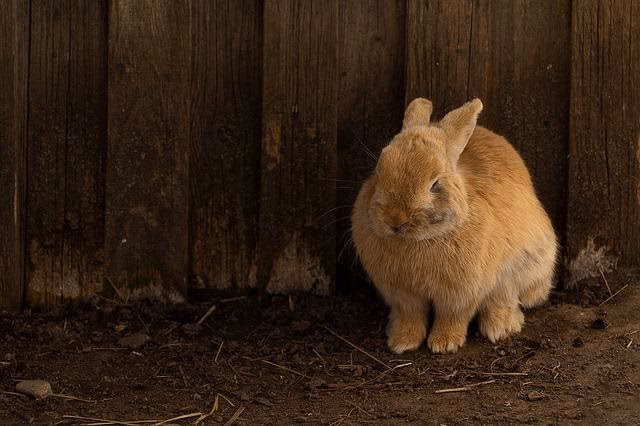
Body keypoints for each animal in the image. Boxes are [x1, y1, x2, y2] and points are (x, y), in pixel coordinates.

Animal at [351, 98, 557, 354]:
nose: (394, 219)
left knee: (503, 299)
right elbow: (411, 316)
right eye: (378, 172)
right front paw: (402, 342)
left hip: (520, 267)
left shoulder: (461, 295)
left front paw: (444, 343)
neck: (421, 240)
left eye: (435, 184)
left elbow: (453, 316)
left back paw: (500, 328)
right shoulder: (403, 296)